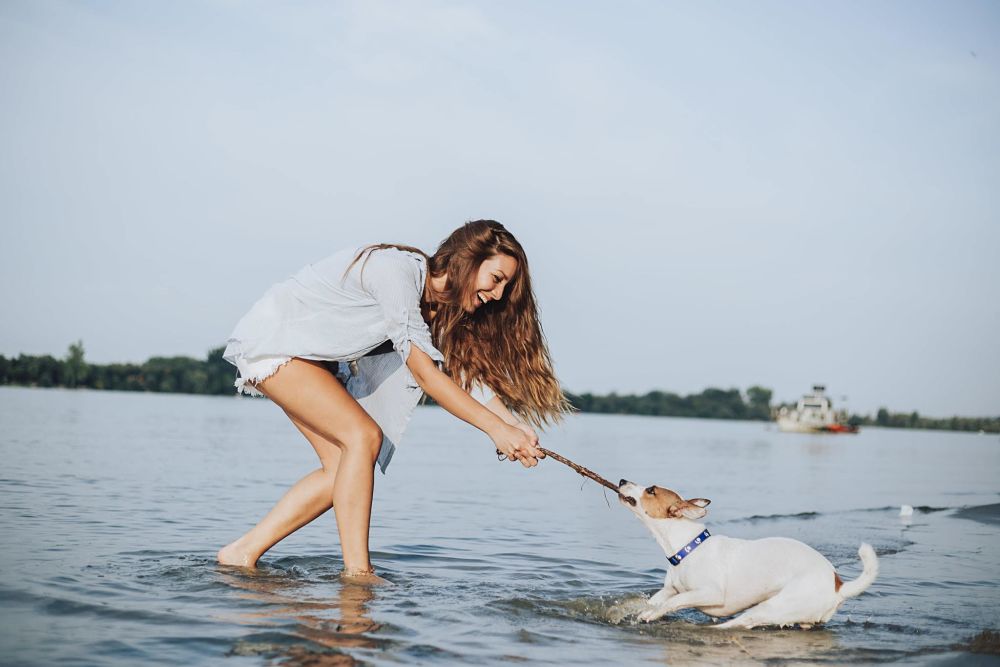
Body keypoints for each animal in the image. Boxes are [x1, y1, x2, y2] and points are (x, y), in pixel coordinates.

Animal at [616, 478, 876, 628]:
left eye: (651, 490)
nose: (621, 479)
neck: (687, 548)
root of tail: (837, 584)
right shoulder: (670, 589)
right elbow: (651, 601)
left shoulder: (710, 593)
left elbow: (674, 602)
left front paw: (652, 615)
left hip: (771, 608)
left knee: (740, 623)